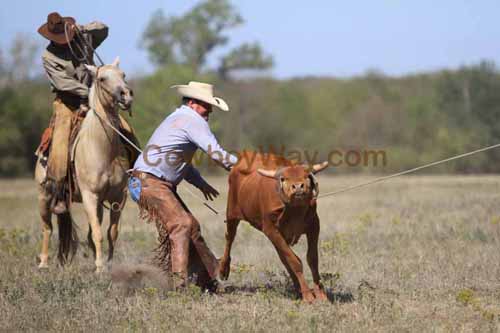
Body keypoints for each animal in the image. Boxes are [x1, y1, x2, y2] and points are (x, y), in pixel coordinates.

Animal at [34, 57, 135, 272]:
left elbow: (111, 232)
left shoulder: (118, 197)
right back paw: (44, 263)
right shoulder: (90, 196)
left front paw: (108, 263)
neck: (103, 148)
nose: (126, 95)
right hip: (44, 197)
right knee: (47, 228)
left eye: (123, 75)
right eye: (102, 78)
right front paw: (100, 268)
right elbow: (97, 233)